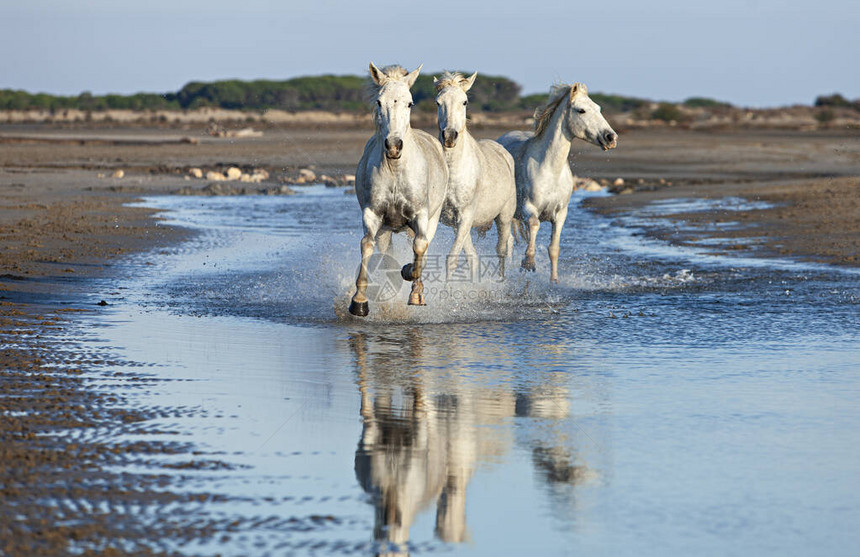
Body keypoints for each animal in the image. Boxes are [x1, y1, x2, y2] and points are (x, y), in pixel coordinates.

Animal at [348, 62, 450, 314]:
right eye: (379, 102)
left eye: (410, 103)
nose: (394, 146)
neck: (395, 170)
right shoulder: (373, 215)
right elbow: (367, 245)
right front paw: (359, 302)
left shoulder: (420, 215)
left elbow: (420, 248)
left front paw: (412, 286)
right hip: (386, 229)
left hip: (432, 219)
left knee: (422, 247)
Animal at [434, 71, 512, 280]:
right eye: (438, 102)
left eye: (464, 102)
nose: (449, 136)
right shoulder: (456, 221)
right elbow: (470, 257)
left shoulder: (465, 216)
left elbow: (451, 260)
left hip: (504, 217)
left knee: (503, 249)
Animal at [498, 81, 620, 282]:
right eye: (581, 110)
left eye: (598, 108)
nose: (611, 138)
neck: (550, 170)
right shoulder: (528, 208)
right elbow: (534, 225)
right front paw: (528, 263)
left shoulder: (561, 213)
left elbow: (554, 249)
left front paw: (554, 281)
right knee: (506, 243)